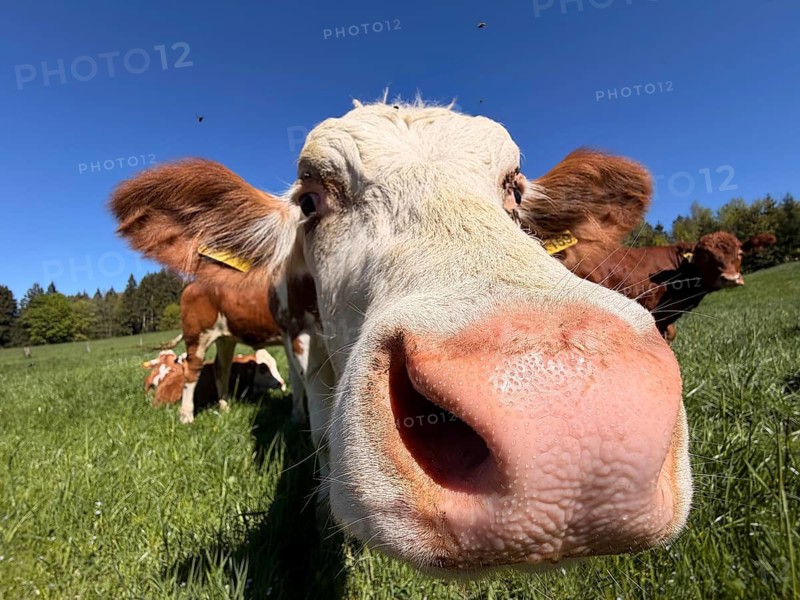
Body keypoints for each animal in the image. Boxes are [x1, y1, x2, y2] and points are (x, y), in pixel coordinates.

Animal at [157, 280, 289, 422]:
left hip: (225, 339)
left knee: (221, 369)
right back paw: (187, 417)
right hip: (198, 337)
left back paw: (225, 409)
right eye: (263, 369)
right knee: (192, 371)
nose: (281, 384)